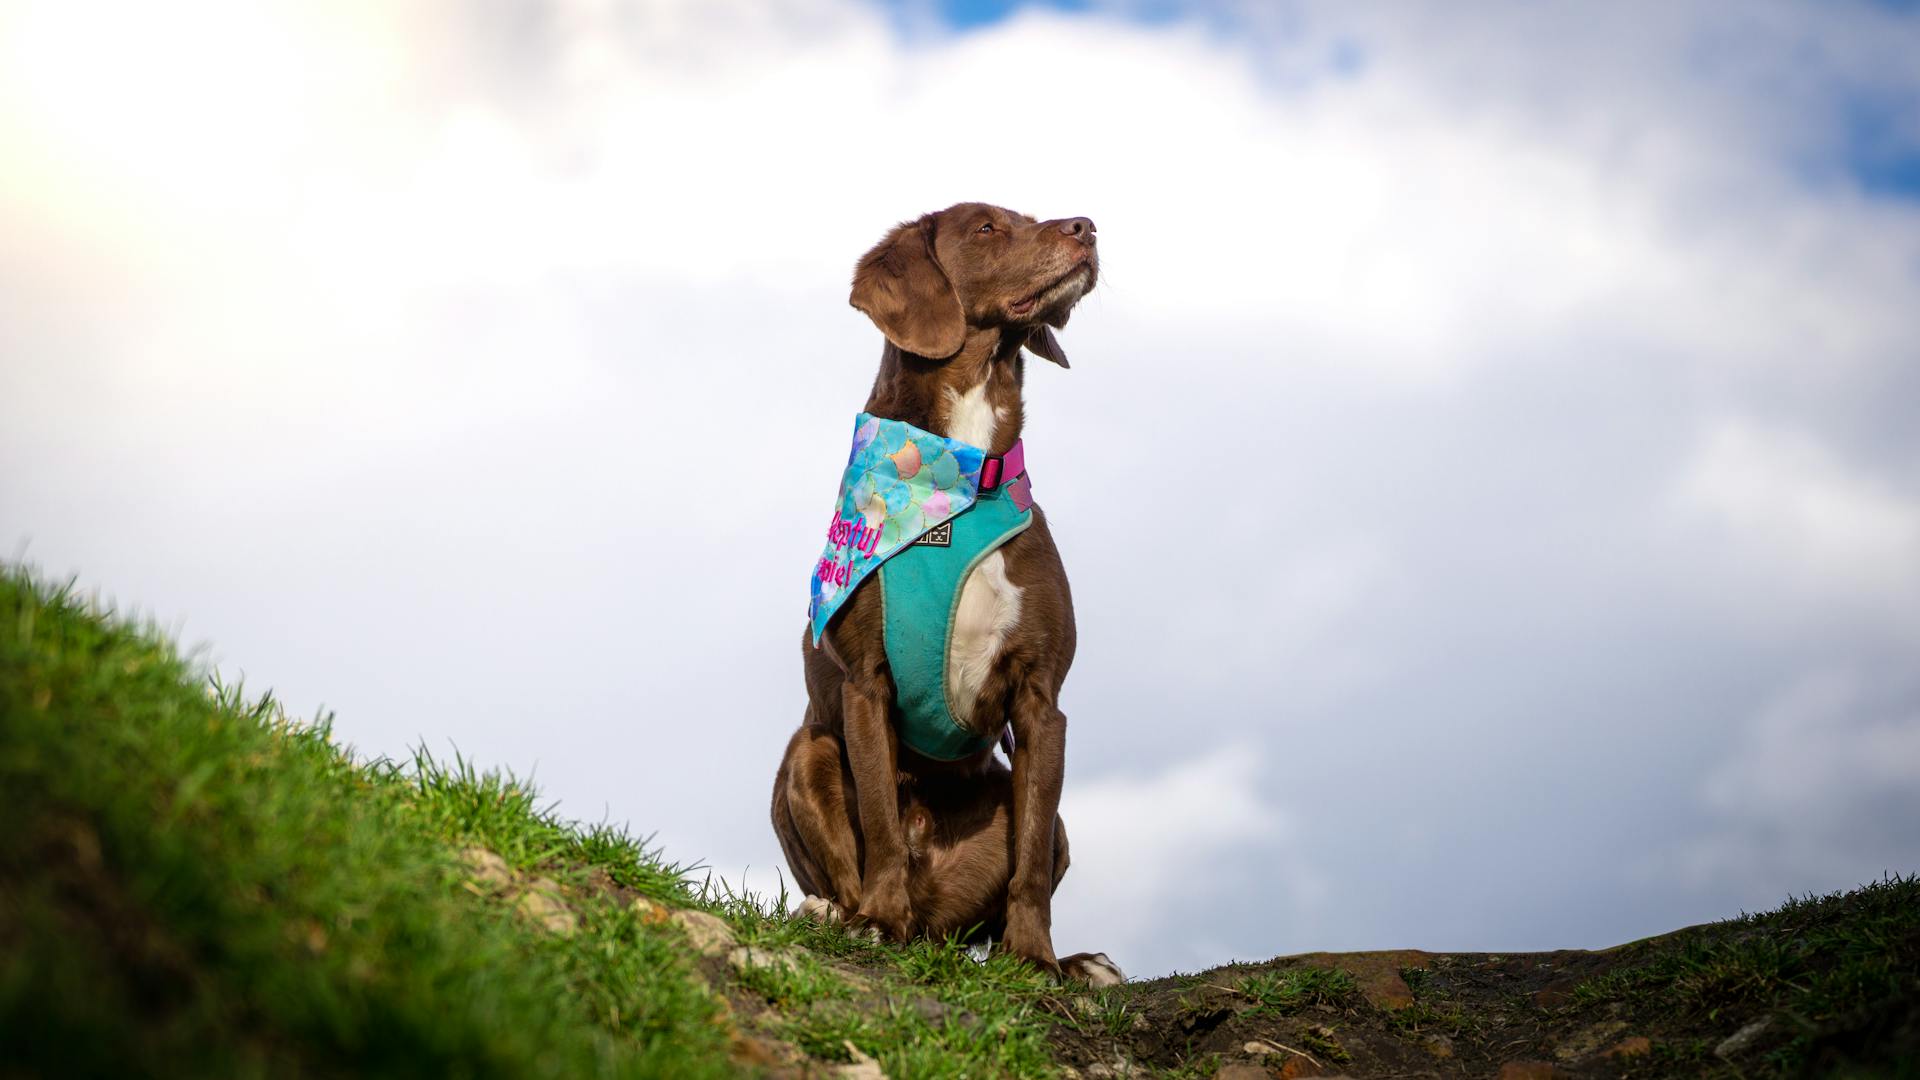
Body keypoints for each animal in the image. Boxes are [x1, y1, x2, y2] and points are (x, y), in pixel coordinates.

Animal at [768, 201, 1121, 983]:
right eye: (987, 227)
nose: (1086, 226)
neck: (959, 473)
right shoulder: (865, 686)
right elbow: (879, 820)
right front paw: (878, 920)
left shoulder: (1041, 701)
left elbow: (1028, 864)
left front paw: (1038, 962)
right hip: (807, 751)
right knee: (845, 863)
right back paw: (840, 914)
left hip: (1038, 821)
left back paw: (1077, 962)